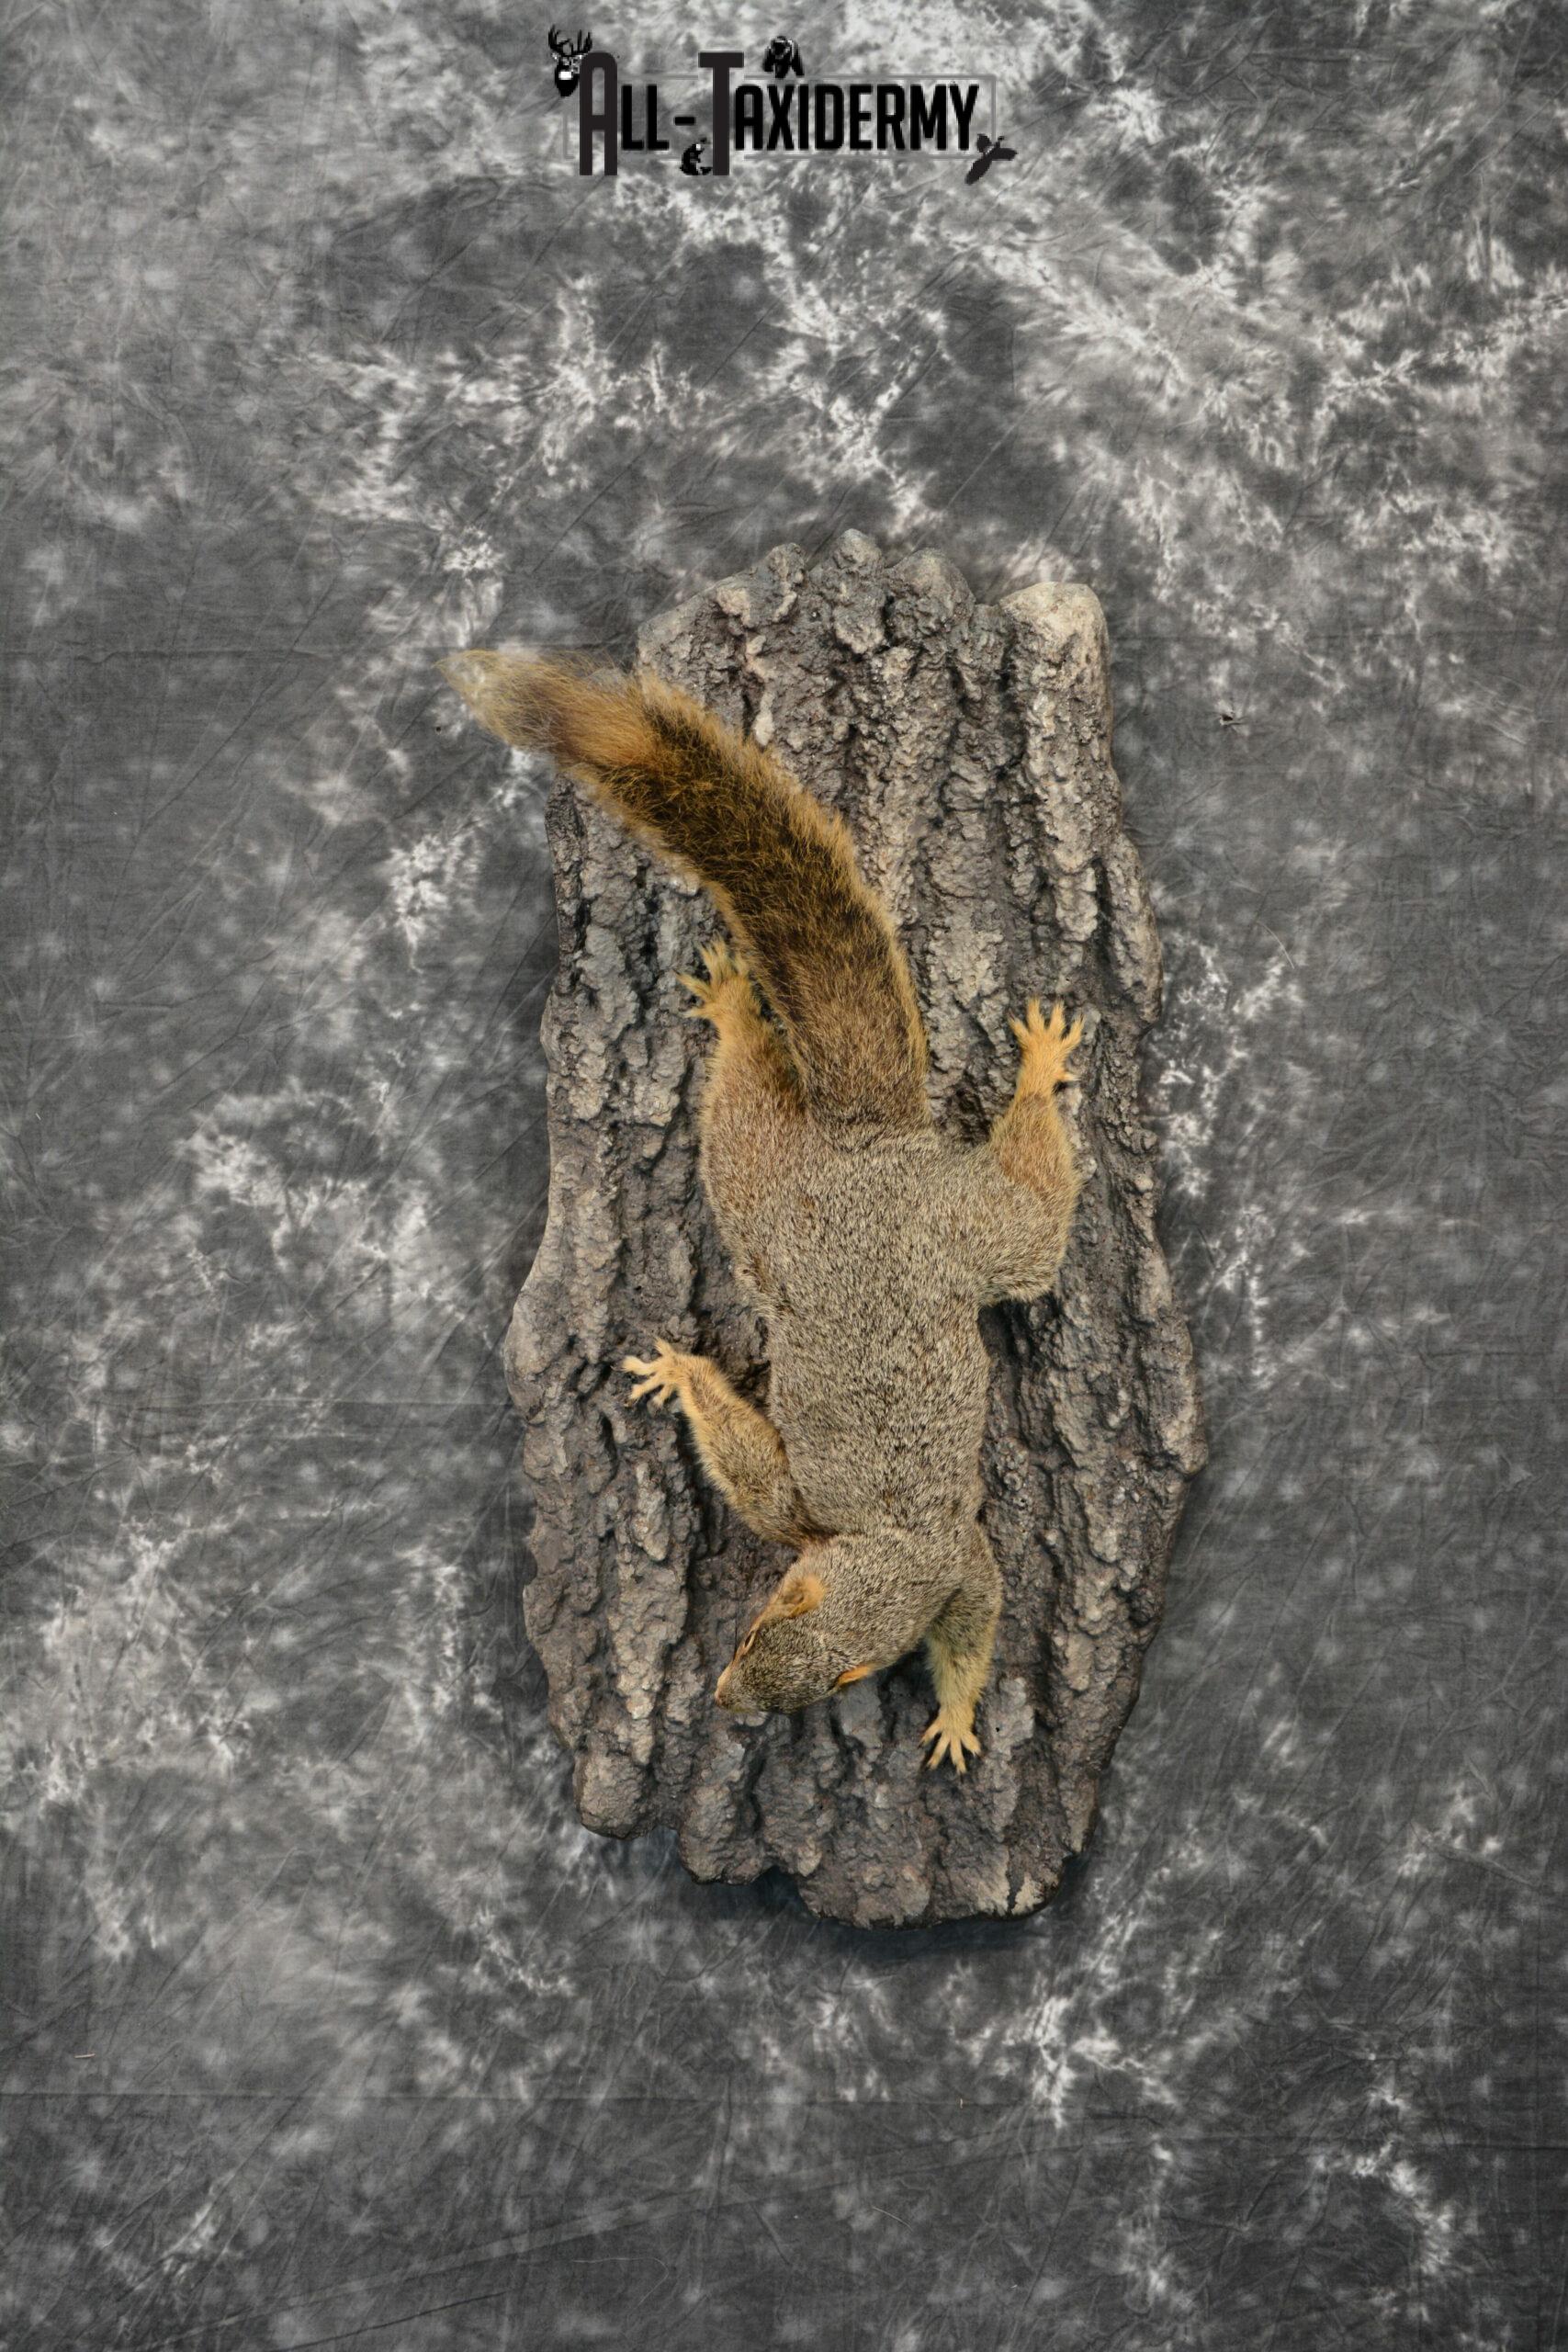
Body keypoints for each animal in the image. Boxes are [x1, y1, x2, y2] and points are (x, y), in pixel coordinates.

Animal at [440, 649, 1085, 1772]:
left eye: (813, 1680)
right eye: (747, 1633)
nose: (724, 1700)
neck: (883, 1546)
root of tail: (874, 1149)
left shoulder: (957, 1562)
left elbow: (974, 1628)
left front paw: (957, 1716)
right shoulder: (810, 1521)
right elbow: (758, 1478)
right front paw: (684, 1372)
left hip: (930, 1231)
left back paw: (1033, 1067)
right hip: (793, 1201)